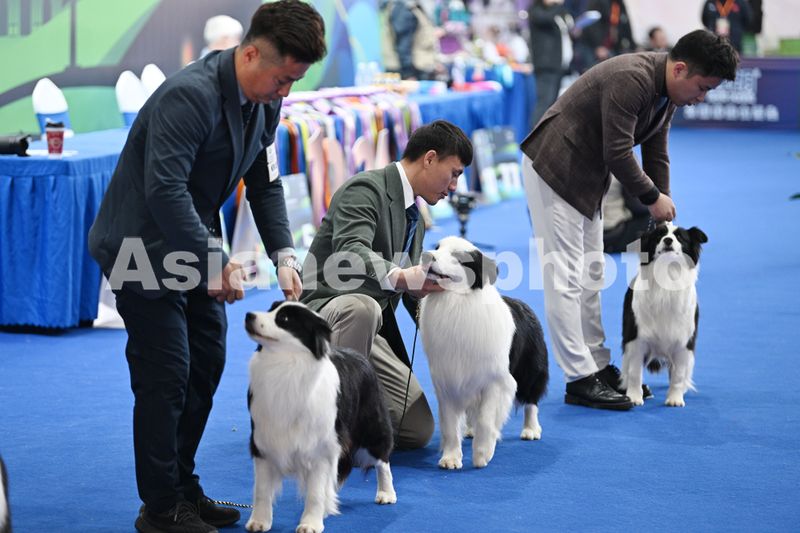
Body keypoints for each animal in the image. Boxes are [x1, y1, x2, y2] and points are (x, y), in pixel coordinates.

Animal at [244, 301, 396, 533]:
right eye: (270, 309)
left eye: (284, 319)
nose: (248, 316)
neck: (284, 367)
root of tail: (362, 358)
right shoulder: (263, 442)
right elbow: (261, 490)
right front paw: (259, 522)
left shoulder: (321, 449)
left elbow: (315, 493)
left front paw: (310, 524)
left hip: (371, 428)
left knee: (383, 460)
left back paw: (386, 494)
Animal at [419, 236, 549, 469]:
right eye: (437, 247)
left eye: (458, 257)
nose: (426, 256)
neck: (456, 301)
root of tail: (524, 305)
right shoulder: (447, 380)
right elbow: (450, 424)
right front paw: (451, 458)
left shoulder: (496, 381)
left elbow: (487, 420)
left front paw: (482, 454)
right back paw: (470, 431)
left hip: (531, 368)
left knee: (531, 399)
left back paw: (531, 430)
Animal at [621, 223, 708, 407]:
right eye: (659, 236)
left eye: (680, 237)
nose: (668, 240)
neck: (667, 274)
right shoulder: (636, 339)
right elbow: (634, 372)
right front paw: (634, 397)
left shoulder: (683, 342)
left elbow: (678, 375)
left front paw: (675, 399)